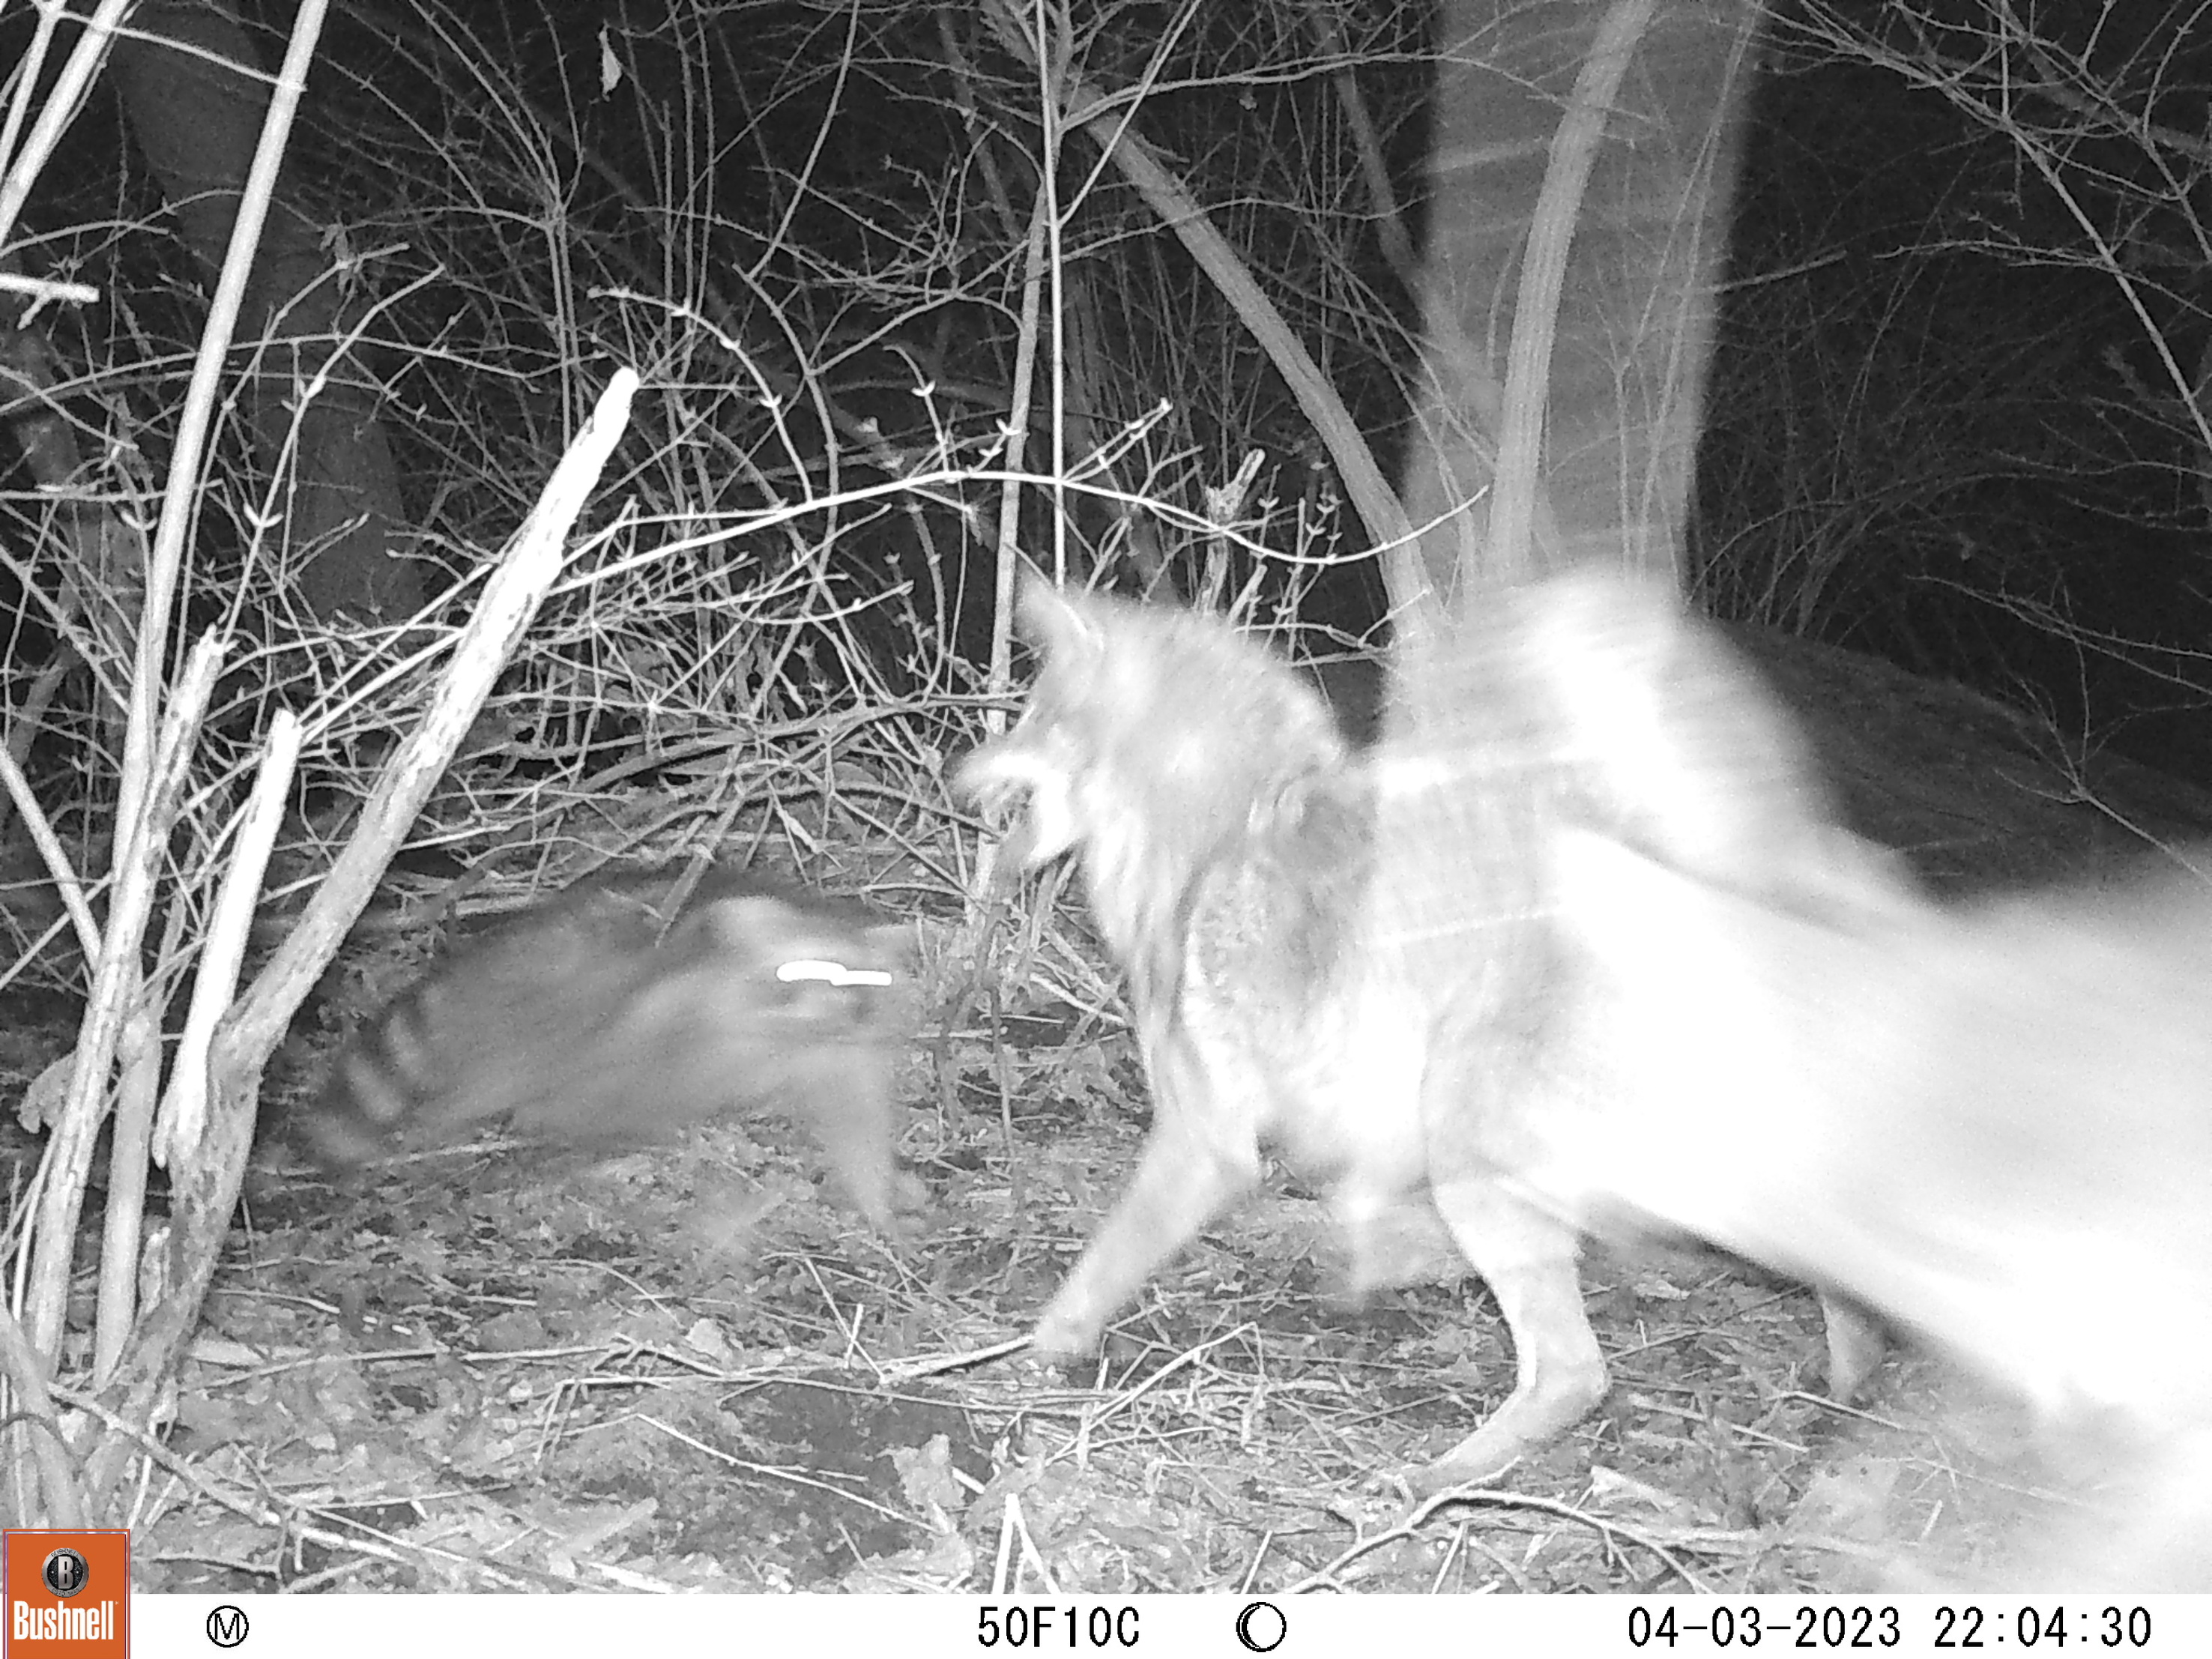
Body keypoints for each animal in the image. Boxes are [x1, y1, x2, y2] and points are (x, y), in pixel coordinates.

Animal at [305, 871, 916, 1239]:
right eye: (793, 978)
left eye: (854, 983)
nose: (827, 1017)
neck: (790, 1038)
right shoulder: (662, 1015)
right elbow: (618, 1080)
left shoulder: (843, 1056)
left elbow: (857, 1126)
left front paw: (880, 1205)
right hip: (534, 1015)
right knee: (511, 1082)